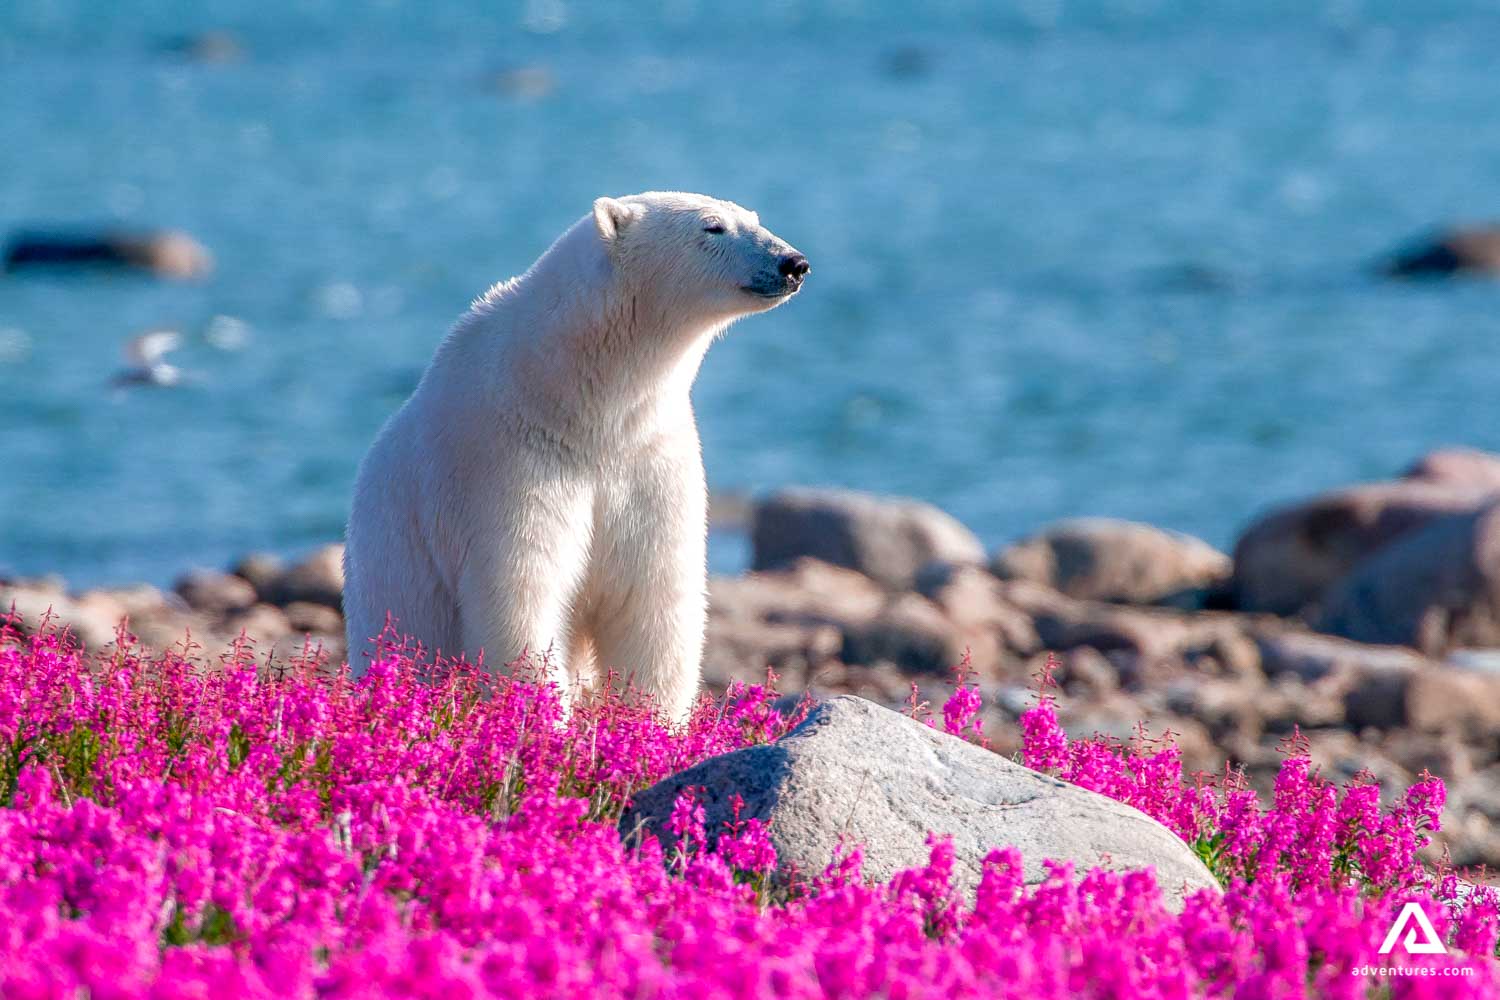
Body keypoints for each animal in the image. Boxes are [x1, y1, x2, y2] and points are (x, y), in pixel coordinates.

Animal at [343, 192, 809, 722]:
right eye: (713, 227)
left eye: (753, 218)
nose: (793, 263)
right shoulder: (507, 460)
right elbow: (522, 595)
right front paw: (547, 719)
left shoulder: (648, 457)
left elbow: (653, 597)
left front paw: (652, 723)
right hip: (393, 593)